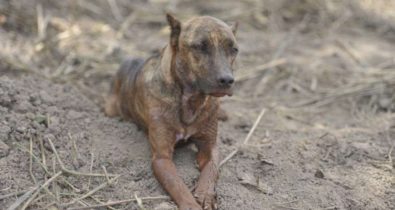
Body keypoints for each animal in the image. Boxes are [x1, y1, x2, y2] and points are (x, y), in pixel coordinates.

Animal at [104, 13, 238, 209]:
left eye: (234, 49)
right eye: (200, 46)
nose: (227, 80)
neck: (191, 100)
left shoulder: (211, 146)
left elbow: (211, 169)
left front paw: (206, 193)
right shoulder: (162, 158)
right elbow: (177, 184)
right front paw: (191, 204)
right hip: (112, 108)